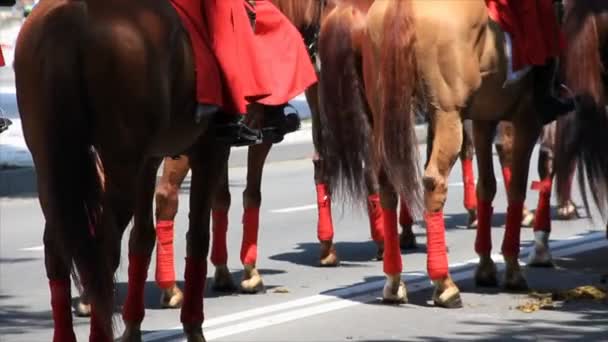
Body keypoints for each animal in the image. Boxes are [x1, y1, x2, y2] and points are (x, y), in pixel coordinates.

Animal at [16, 0, 232, 340]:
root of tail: (70, 16)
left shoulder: (148, 161)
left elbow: (142, 239)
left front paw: (133, 327)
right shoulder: (210, 150)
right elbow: (197, 237)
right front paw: (192, 325)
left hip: (53, 168)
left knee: (60, 247)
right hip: (118, 168)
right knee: (102, 253)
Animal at [318, 0, 604, 308]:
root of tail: (401, 6)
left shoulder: (483, 121)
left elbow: (487, 187)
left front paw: (487, 266)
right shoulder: (526, 120)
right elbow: (516, 188)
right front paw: (512, 268)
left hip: (385, 113)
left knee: (387, 185)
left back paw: (394, 282)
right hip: (447, 116)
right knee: (434, 183)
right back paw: (444, 284)